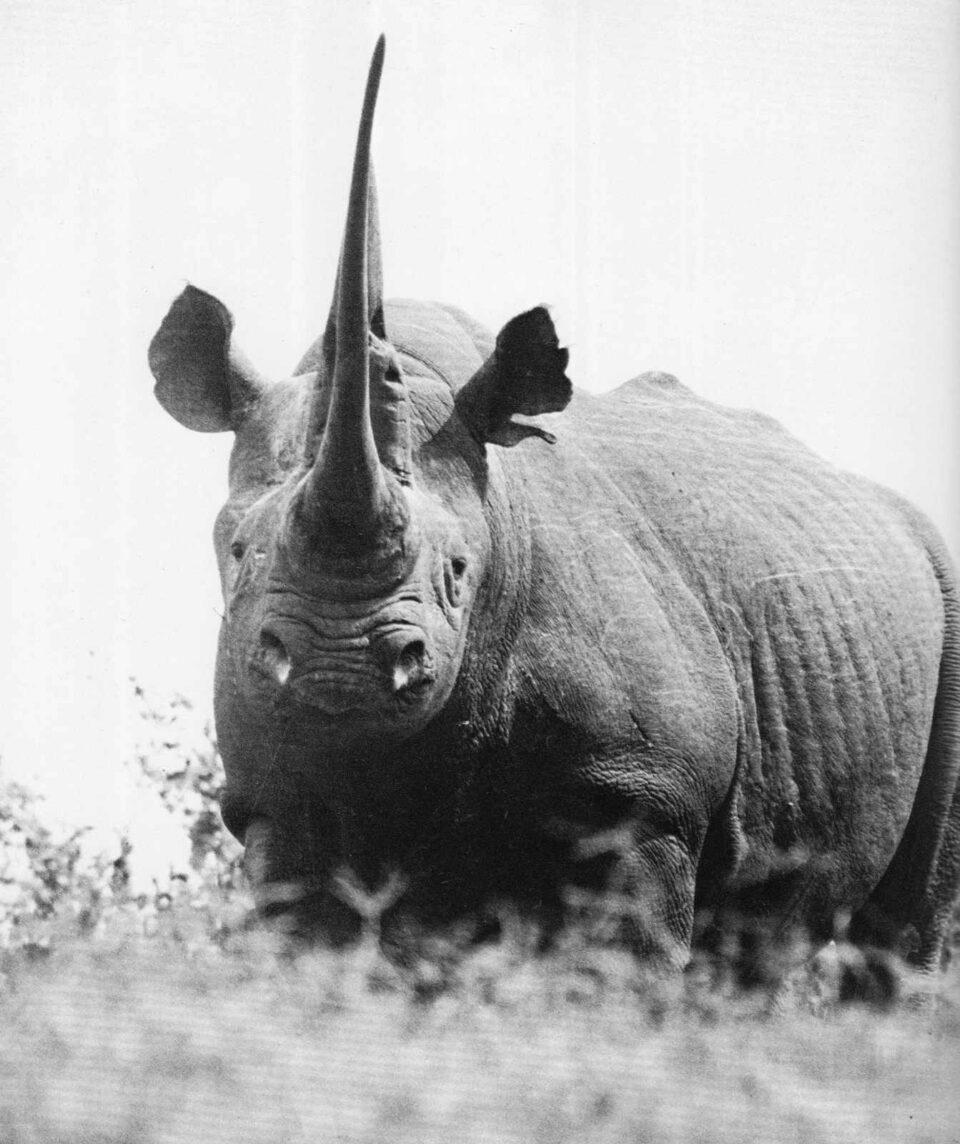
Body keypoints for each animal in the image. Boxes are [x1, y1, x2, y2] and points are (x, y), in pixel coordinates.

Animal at [149, 37, 959, 971]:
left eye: (461, 571)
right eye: (237, 554)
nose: (336, 669)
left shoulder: (644, 796)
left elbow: (619, 964)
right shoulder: (275, 796)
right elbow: (311, 950)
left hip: (943, 591)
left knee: (910, 930)